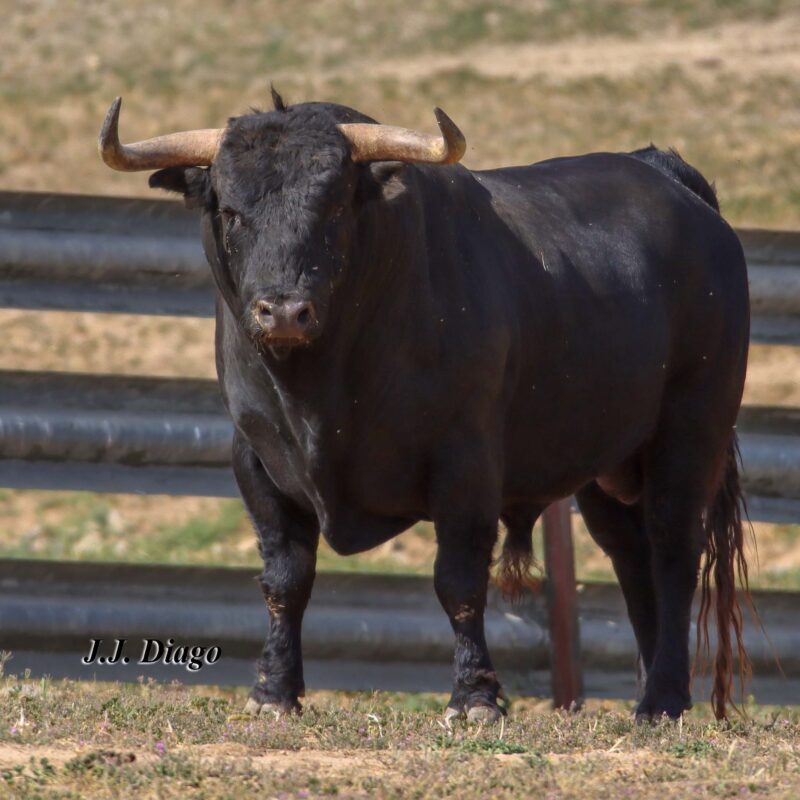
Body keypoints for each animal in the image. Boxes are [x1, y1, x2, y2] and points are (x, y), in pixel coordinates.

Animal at [142, 97, 752, 720]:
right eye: (231, 211)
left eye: (333, 205)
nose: (284, 312)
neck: (320, 389)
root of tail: (668, 178)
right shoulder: (255, 460)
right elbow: (285, 578)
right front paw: (274, 692)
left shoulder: (466, 463)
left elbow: (458, 581)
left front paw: (475, 696)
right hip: (608, 465)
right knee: (633, 560)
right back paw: (648, 692)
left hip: (692, 427)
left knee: (674, 548)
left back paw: (665, 698)